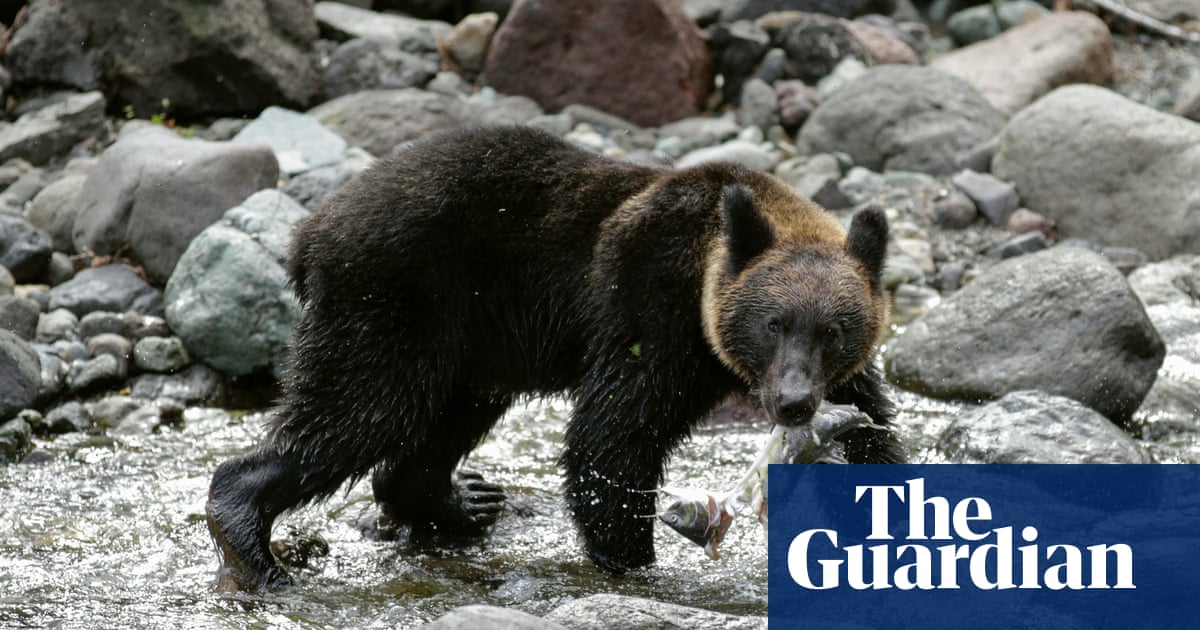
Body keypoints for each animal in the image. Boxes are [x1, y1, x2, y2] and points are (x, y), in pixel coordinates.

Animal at [206, 125, 904, 592]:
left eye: (834, 330)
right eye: (773, 323)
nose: (794, 402)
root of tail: (310, 232)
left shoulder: (847, 377)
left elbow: (876, 437)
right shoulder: (649, 307)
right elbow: (613, 435)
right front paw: (633, 562)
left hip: (472, 343)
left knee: (439, 422)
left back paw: (466, 499)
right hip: (395, 301)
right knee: (359, 412)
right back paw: (253, 546)